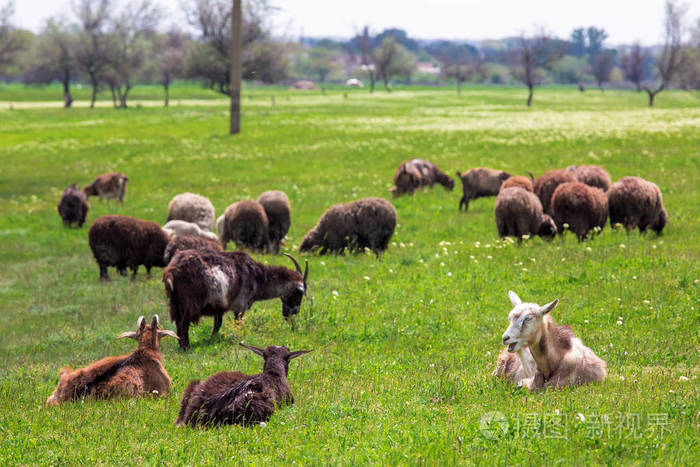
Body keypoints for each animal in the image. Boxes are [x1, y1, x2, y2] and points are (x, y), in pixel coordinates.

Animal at [164, 252, 308, 352]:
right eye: (299, 293)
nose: (294, 312)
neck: (258, 276)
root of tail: (172, 271)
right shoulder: (241, 305)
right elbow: (237, 323)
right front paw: (237, 339)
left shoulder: (219, 307)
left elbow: (217, 325)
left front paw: (212, 339)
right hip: (188, 303)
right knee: (183, 324)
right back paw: (186, 347)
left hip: (174, 304)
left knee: (179, 324)